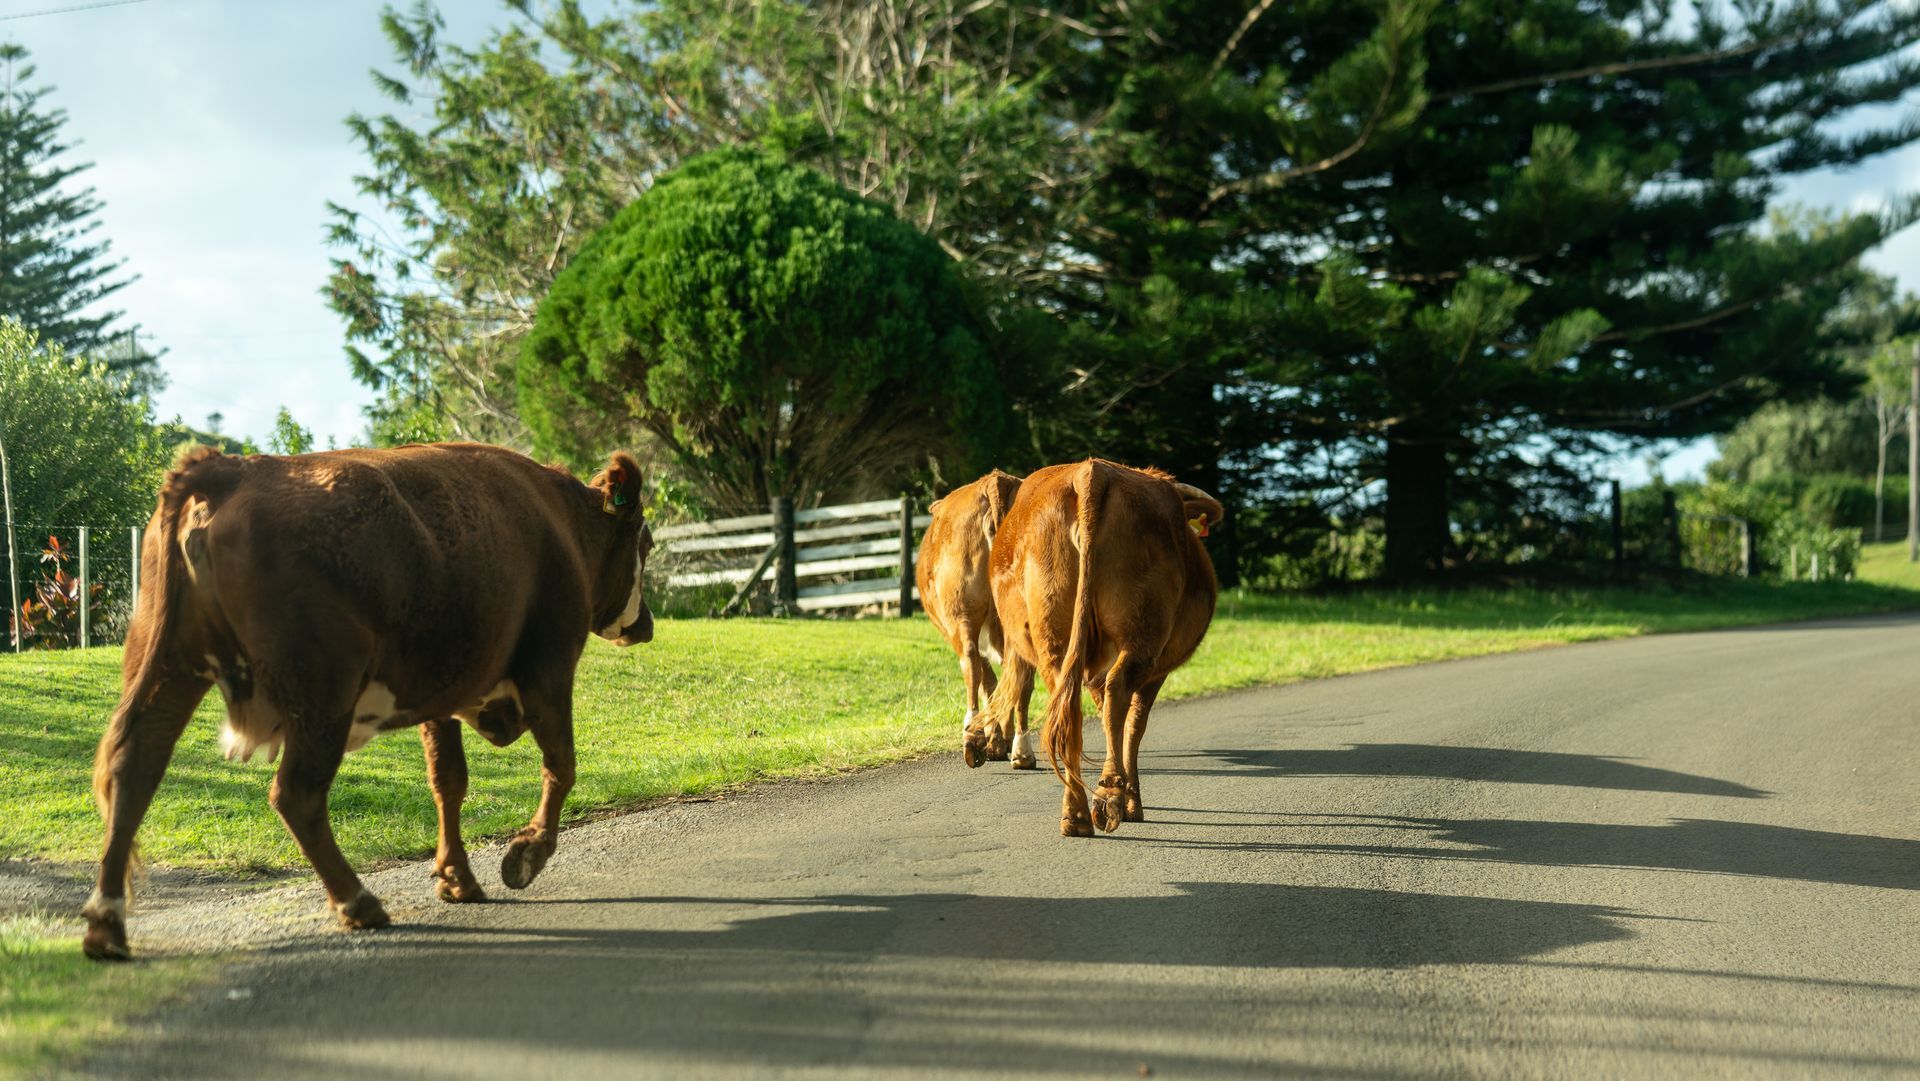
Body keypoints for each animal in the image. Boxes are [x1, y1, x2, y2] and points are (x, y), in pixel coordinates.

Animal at [82, 442, 655, 960]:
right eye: (645, 544)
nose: (646, 625)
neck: (560, 521)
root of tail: (235, 467)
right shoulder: (549, 668)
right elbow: (562, 766)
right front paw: (527, 854)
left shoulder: (442, 691)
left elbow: (449, 780)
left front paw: (457, 878)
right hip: (321, 692)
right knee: (296, 794)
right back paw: (358, 902)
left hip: (168, 664)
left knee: (134, 765)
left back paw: (107, 924)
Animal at [915, 469, 1036, 770]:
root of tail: (993, 481)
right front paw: (1000, 740)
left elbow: (988, 683)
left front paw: (995, 741)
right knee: (1022, 676)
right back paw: (1022, 750)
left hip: (962, 613)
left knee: (971, 663)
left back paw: (973, 735)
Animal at [989, 459, 1223, 836]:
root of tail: (1092, 471)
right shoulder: (1156, 671)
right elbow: (1133, 725)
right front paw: (1132, 803)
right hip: (1142, 636)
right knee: (1116, 695)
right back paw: (1109, 796)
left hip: (1054, 639)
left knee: (1067, 710)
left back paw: (1076, 813)